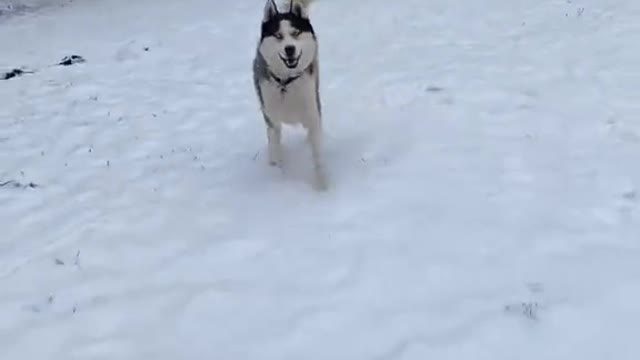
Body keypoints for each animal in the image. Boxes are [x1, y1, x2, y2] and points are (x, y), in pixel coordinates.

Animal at [252, 0, 328, 191]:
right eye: (278, 35)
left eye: (296, 33)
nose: (289, 49)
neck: (286, 83)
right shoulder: (272, 120)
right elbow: (275, 150)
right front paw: (278, 180)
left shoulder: (312, 114)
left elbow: (318, 156)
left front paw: (323, 187)